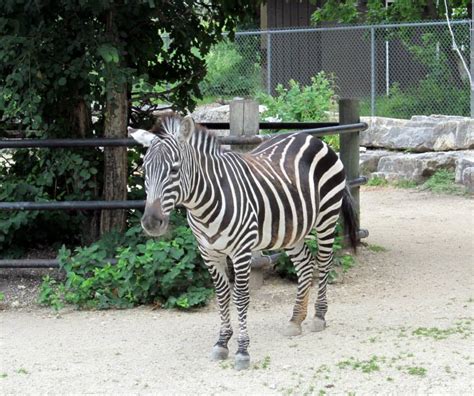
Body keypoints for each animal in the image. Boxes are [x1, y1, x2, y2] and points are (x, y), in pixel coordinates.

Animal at [131, 114, 360, 372]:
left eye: (174, 169)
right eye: (144, 171)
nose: (151, 222)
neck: (205, 203)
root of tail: (311, 137)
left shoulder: (241, 252)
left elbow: (240, 297)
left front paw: (242, 351)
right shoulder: (209, 253)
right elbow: (222, 295)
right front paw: (222, 343)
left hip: (326, 217)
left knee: (324, 262)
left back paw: (319, 316)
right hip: (291, 228)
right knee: (305, 265)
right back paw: (295, 320)